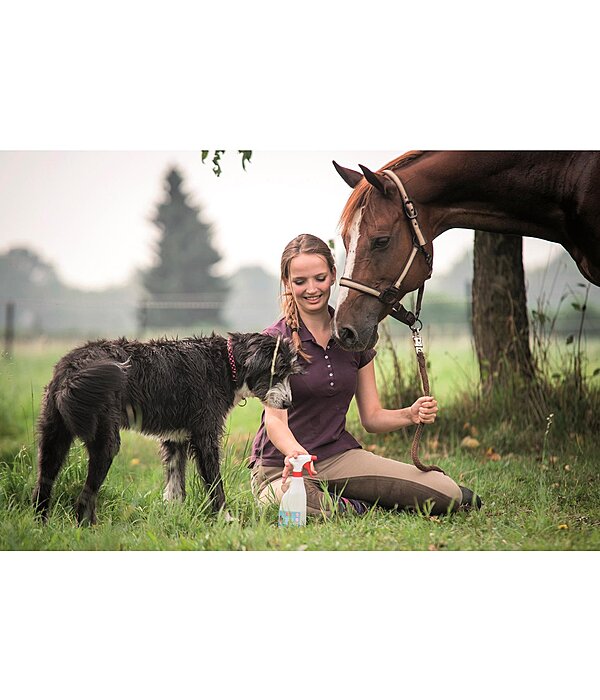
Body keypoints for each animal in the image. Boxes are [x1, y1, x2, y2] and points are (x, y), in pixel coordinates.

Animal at [32, 334, 300, 524]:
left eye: (289, 373)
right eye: (277, 371)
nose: (288, 404)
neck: (226, 364)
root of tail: (72, 368)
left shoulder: (175, 440)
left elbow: (175, 488)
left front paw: (175, 517)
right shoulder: (205, 437)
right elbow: (215, 484)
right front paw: (226, 519)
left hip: (53, 438)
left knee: (43, 487)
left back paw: (40, 524)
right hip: (105, 441)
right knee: (84, 498)